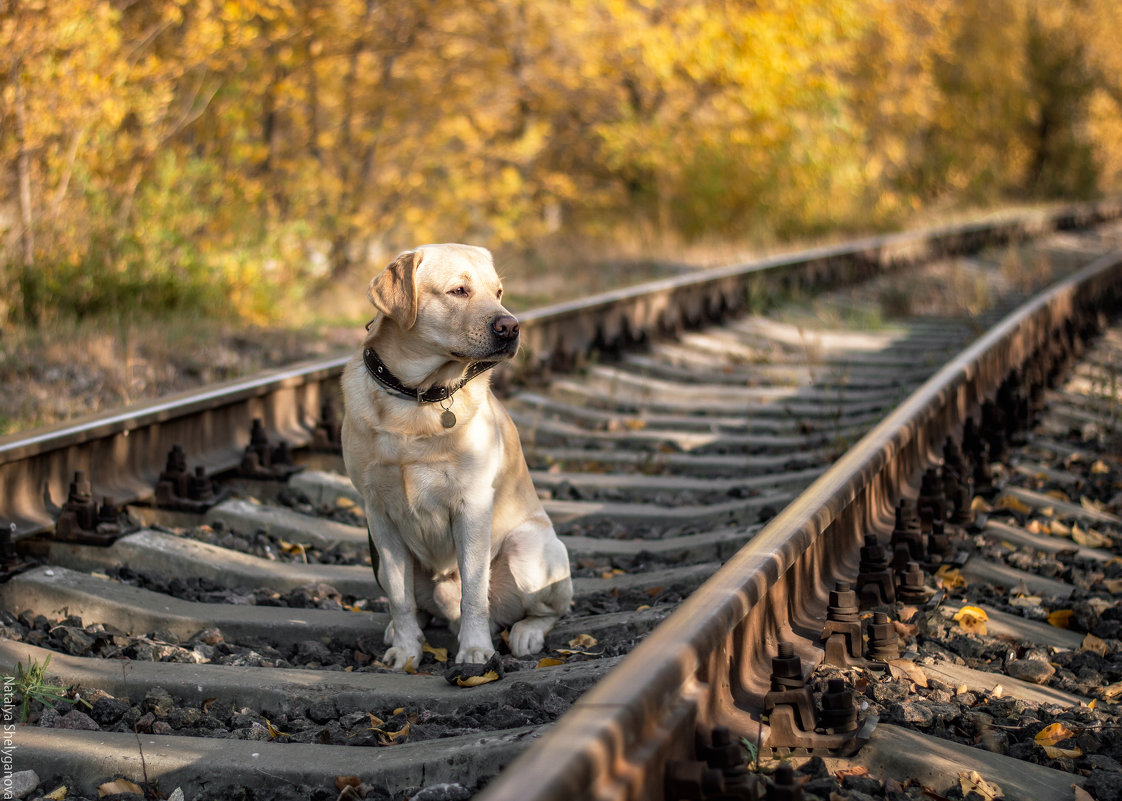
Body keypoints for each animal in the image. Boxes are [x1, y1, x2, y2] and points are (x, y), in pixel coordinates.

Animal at [338, 243, 569, 668]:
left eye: (498, 292)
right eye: (459, 290)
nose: (512, 326)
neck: (416, 399)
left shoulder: (472, 507)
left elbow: (474, 593)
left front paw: (475, 650)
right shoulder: (379, 517)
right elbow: (399, 598)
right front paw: (406, 650)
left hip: (527, 550)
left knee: (549, 610)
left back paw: (525, 634)